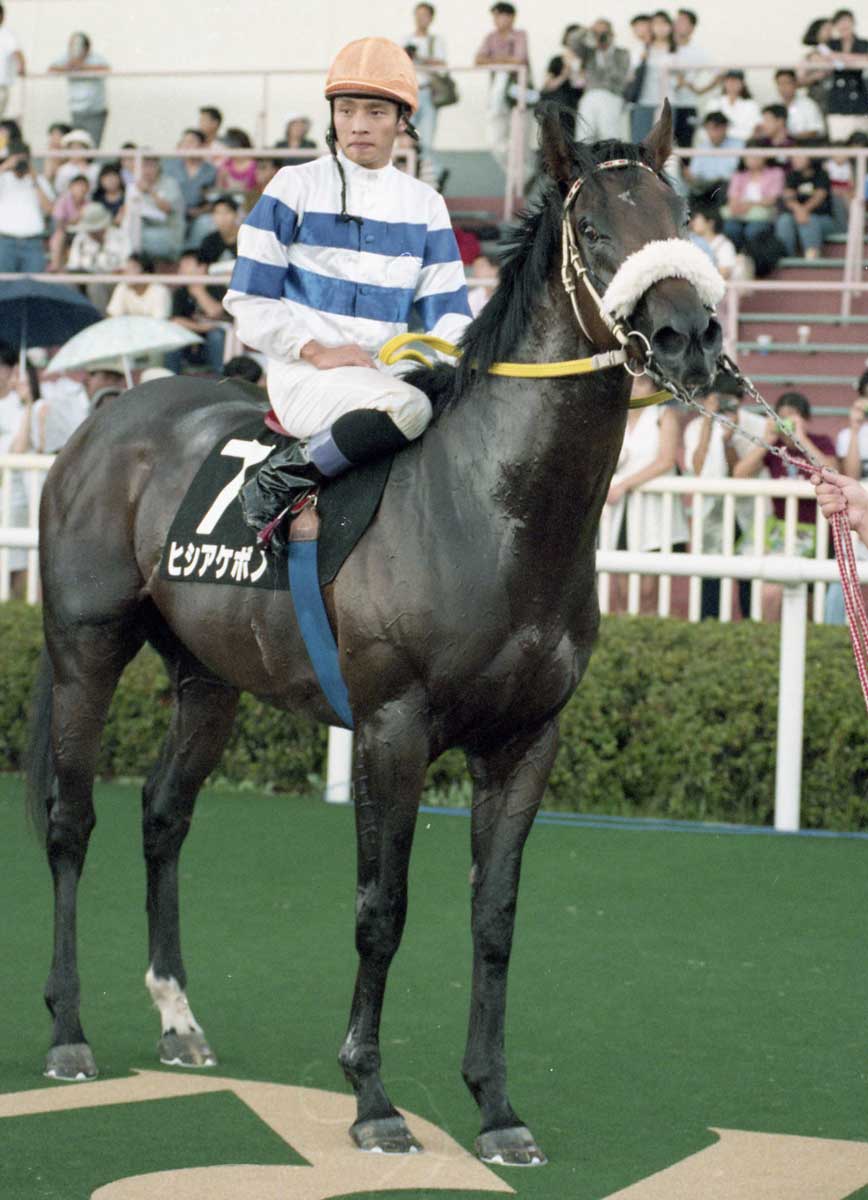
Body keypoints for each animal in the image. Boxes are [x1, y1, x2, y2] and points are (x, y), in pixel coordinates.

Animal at [26, 104, 721, 1165]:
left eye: (681, 217)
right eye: (597, 230)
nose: (689, 338)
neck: (495, 510)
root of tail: (112, 413)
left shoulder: (527, 741)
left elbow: (495, 918)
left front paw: (497, 1108)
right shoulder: (393, 728)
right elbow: (380, 911)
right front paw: (373, 1098)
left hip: (208, 678)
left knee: (163, 814)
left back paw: (179, 1019)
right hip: (85, 645)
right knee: (72, 821)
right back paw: (69, 1032)